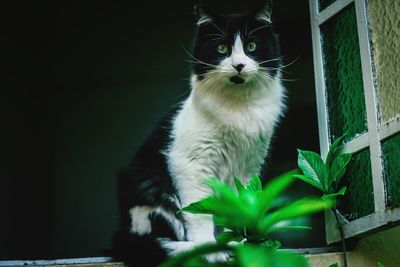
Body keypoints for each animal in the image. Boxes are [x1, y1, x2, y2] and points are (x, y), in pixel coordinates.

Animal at [111, 1, 284, 266]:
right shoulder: (191, 165)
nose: (239, 65)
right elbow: (200, 213)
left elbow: (241, 208)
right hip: (154, 197)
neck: (239, 106)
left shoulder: (247, 170)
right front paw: (211, 250)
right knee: (155, 241)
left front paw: (241, 245)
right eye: (222, 48)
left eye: (251, 46)